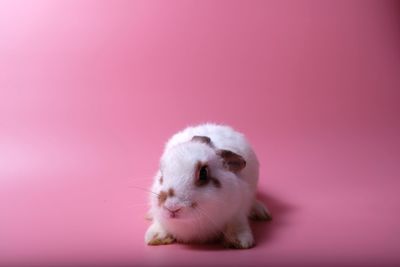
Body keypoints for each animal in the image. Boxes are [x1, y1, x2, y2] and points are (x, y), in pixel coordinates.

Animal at [144, 123, 272, 249]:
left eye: (203, 173)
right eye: (161, 173)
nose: (172, 207)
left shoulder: (238, 211)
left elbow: (237, 224)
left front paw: (241, 241)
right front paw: (154, 237)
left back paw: (262, 213)